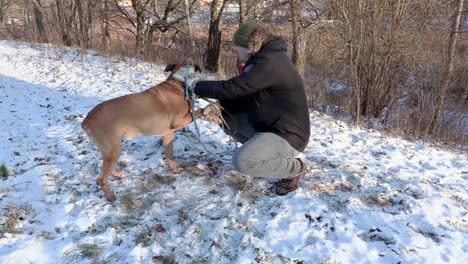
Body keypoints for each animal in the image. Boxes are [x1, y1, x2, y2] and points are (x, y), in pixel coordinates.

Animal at [81, 63, 209, 201]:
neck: (179, 81)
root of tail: (87, 119)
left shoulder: (167, 134)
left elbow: (169, 155)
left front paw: (173, 169)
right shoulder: (178, 122)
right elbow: (197, 111)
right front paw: (208, 109)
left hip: (108, 150)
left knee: (104, 169)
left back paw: (117, 174)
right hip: (113, 150)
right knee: (101, 179)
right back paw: (110, 197)